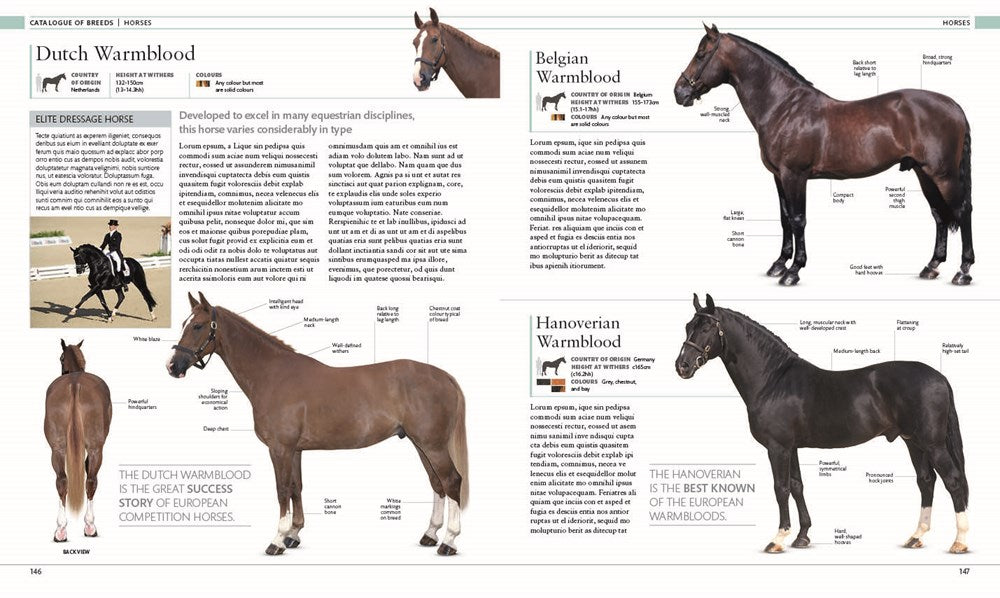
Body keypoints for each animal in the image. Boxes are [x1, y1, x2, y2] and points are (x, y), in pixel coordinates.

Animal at [45, 339, 112, 542]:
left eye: (61, 358)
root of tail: (74, 384)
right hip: (96, 449)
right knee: (90, 481)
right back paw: (89, 527)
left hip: (57, 449)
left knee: (62, 480)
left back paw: (61, 531)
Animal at [167, 292, 470, 556]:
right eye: (183, 324)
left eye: (197, 325)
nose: (172, 366)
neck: (272, 375)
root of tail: (445, 376)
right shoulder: (295, 450)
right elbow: (295, 488)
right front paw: (293, 535)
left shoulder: (280, 449)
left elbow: (281, 490)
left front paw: (277, 540)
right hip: (421, 444)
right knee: (437, 483)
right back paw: (430, 535)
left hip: (432, 445)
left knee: (452, 481)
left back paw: (448, 542)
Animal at [674, 25, 974, 286]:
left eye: (701, 54)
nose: (679, 92)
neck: (783, 107)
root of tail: (955, 107)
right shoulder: (778, 176)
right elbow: (784, 217)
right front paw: (779, 264)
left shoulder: (794, 175)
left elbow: (798, 219)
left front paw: (793, 271)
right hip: (924, 173)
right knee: (939, 215)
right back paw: (931, 266)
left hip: (943, 174)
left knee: (962, 210)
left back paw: (963, 271)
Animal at [675, 293, 969, 554]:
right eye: (688, 326)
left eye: (706, 328)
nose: (682, 366)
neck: (773, 381)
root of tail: (940, 377)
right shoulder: (791, 447)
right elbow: (797, 486)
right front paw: (802, 536)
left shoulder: (777, 447)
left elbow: (781, 489)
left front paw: (778, 539)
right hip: (913, 442)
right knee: (926, 481)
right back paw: (916, 537)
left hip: (932, 444)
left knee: (953, 481)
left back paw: (959, 543)